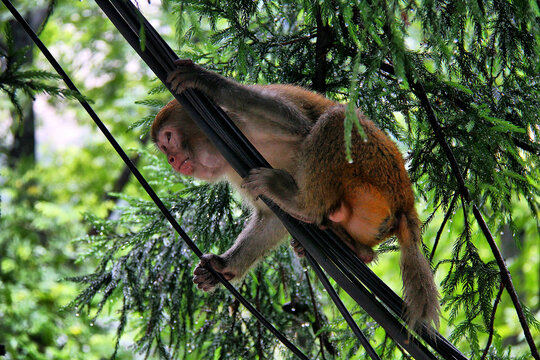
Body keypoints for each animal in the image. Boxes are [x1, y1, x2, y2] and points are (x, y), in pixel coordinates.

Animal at [151, 58, 438, 330]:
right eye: (165, 149)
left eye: (169, 139)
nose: (172, 160)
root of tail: (406, 201)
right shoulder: (233, 166)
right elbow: (272, 218)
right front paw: (223, 266)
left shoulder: (238, 120)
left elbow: (296, 125)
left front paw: (207, 81)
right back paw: (354, 247)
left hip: (376, 166)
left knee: (335, 119)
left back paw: (302, 205)